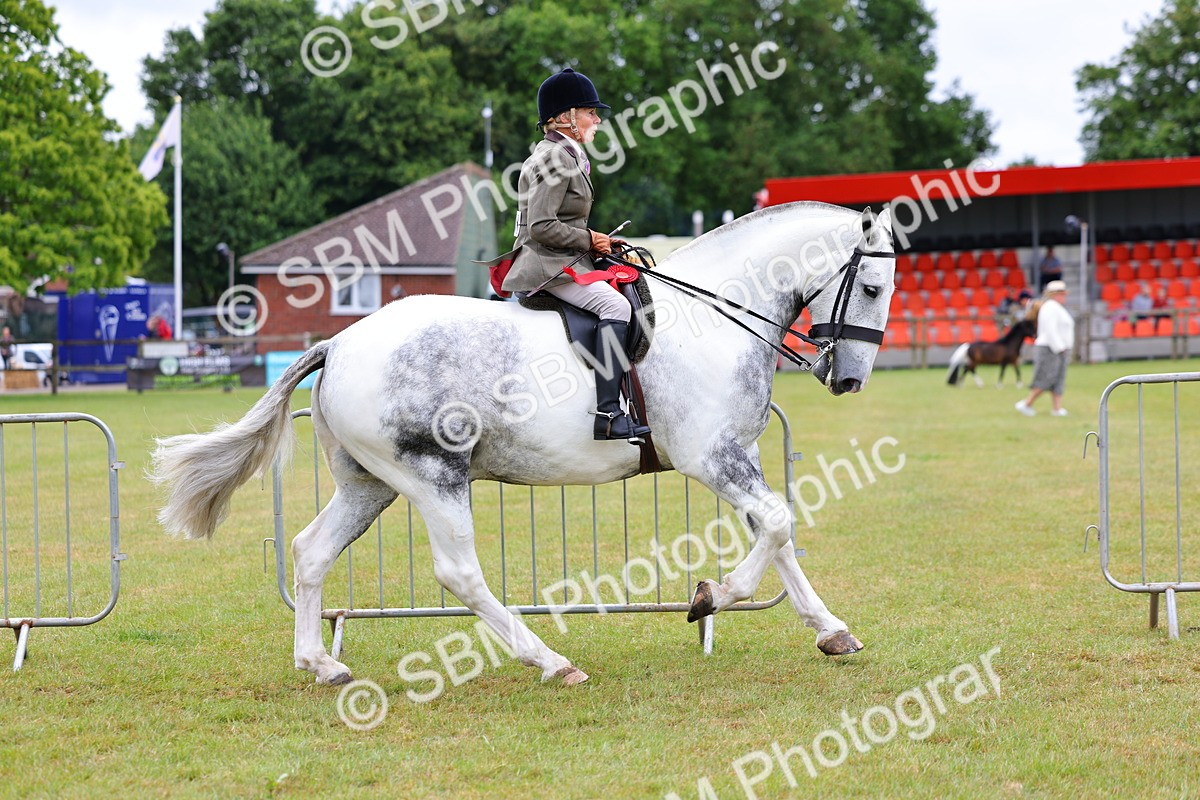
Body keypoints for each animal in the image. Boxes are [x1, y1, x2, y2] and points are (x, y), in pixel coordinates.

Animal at [150, 202, 897, 688]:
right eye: (872, 285)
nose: (851, 379)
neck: (712, 315)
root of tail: (338, 344)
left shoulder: (737, 457)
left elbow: (779, 536)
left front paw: (830, 630)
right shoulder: (711, 457)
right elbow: (777, 525)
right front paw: (708, 597)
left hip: (370, 484)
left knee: (310, 550)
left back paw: (321, 663)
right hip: (433, 477)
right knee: (460, 574)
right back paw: (551, 662)